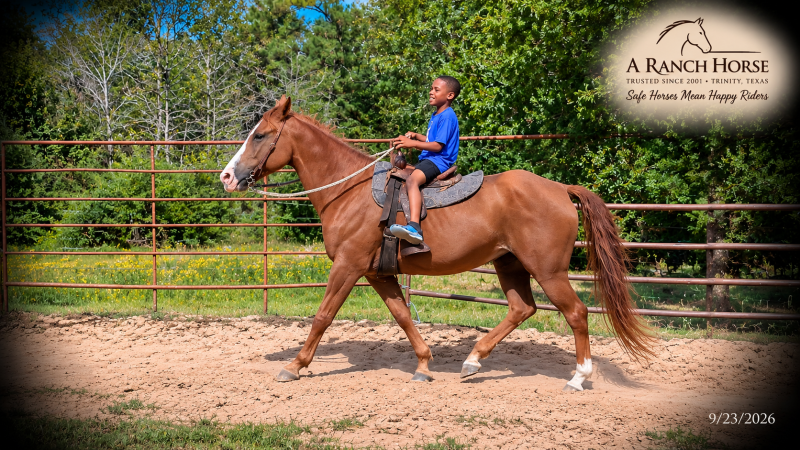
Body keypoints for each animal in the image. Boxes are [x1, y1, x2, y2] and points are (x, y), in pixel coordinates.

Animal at [220, 96, 654, 391]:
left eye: (260, 135)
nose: (226, 176)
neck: (349, 190)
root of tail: (561, 190)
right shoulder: (377, 273)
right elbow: (402, 316)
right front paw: (424, 366)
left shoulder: (348, 265)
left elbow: (324, 316)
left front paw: (294, 366)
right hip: (509, 263)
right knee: (522, 308)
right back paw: (473, 361)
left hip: (548, 270)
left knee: (576, 313)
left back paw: (578, 377)